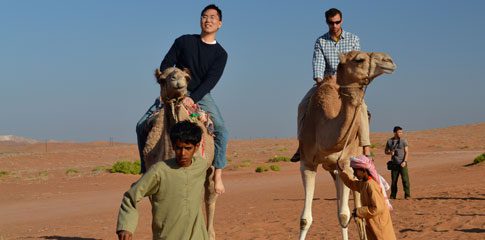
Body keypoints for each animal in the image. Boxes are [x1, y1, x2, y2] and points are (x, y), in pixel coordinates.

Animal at [143, 66, 218, 240]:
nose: (178, 80)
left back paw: (210, 233)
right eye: (161, 79)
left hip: (210, 168)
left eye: (187, 77)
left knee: (210, 195)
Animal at [296, 50, 396, 240]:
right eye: (359, 59)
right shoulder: (307, 163)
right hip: (332, 169)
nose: (389, 60)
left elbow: (344, 215)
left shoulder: (345, 163)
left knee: (357, 209)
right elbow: (305, 219)